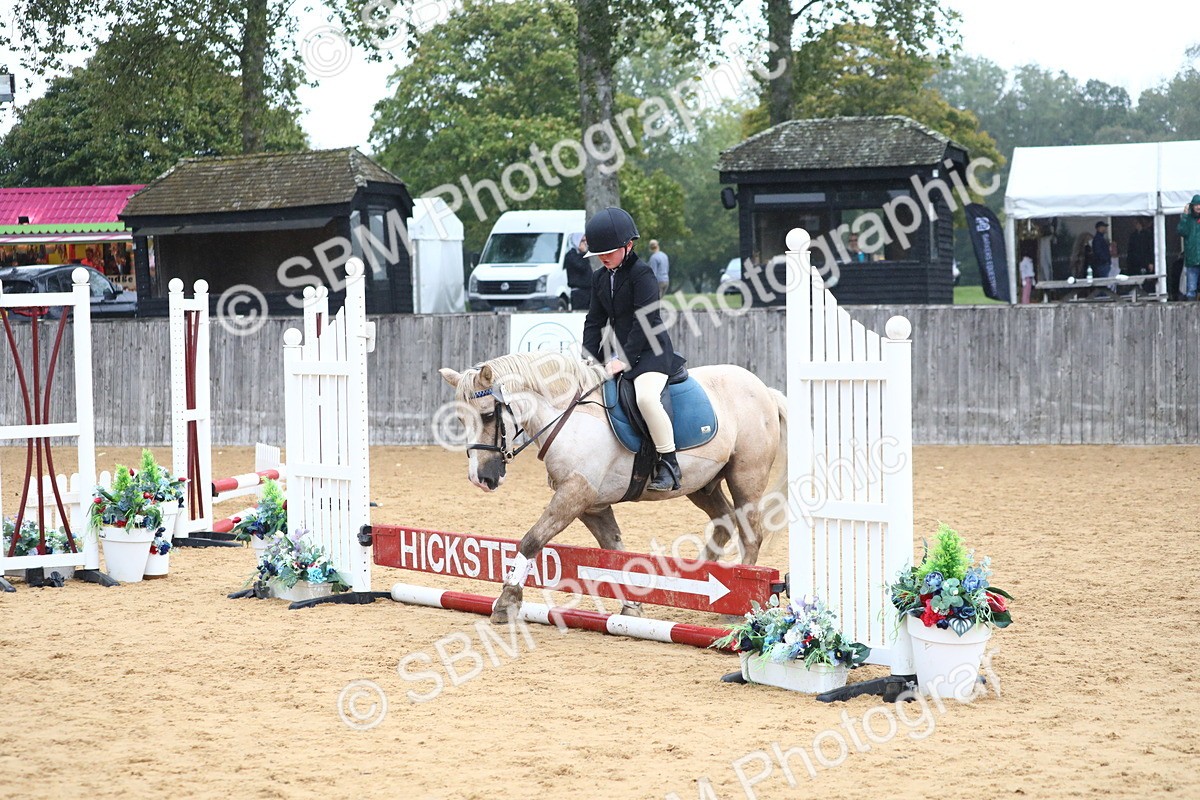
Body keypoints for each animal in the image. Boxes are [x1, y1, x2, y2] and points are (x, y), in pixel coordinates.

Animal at [438, 351, 787, 623]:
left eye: (487, 415)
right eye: (461, 420)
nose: (481, 479)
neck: (570, 418)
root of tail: (763, 389)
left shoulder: (575, 494)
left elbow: (532, 540)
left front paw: (506, 602)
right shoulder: (591, 505)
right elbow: (615, 550)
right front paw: (632, 606)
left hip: (745, 477)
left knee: (750, 533)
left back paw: (740, 606)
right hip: (702, 485)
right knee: (725, 522)